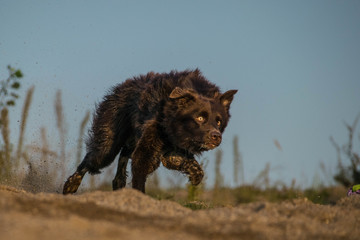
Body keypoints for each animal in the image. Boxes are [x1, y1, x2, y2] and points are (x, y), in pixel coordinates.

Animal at [62, 69, 236, 193]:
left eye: (218, 121)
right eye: (200, 118)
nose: (216, 136)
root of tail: (122, 86)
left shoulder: (172, 151)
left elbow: (188, 164)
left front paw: (195, 173)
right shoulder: (149, 146)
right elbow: (140, 170)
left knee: (123, 155)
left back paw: (118, 183)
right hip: (108, 145)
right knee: (91, 160)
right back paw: (70, 185)